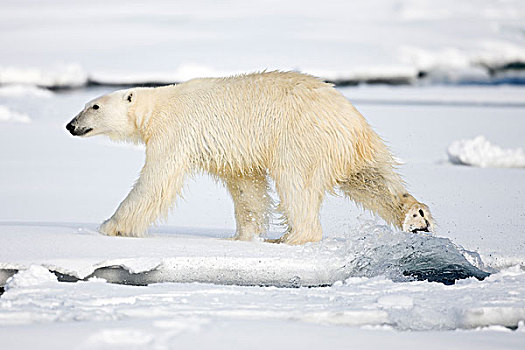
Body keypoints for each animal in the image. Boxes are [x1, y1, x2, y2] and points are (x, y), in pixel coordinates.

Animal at [65, 71, 434, 245]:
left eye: (93, 106)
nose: (70, 125)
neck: (158, 106)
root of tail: (352, 118)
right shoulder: (236, 154)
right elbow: (247, 188)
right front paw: (243, 236)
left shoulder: (176, 131)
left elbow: (157, 180)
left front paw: (110, 226)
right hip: (352, 146)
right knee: (371, 179)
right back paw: (416, 216)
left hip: (302, 136)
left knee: (296, 182)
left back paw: (291, 237)